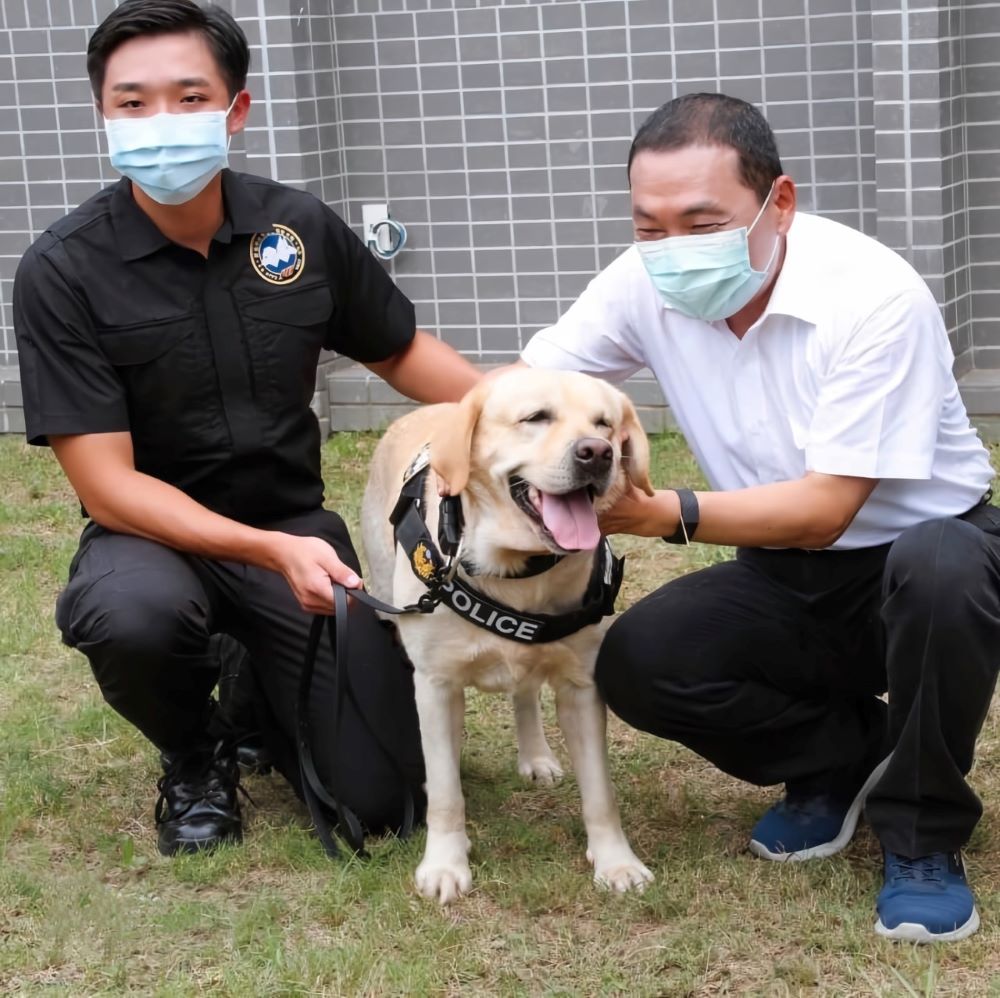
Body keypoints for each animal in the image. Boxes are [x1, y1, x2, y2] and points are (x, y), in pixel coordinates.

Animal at [362, 370, 656, 908]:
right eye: (535, 417)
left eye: (604, 423)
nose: (598, 453)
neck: (517, 571)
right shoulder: (435, 684)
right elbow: (445, 793)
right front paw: (445, 864)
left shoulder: (582, 685)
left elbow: (600, 792)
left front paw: (616, 862)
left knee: (524, 692)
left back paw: (535, 755)